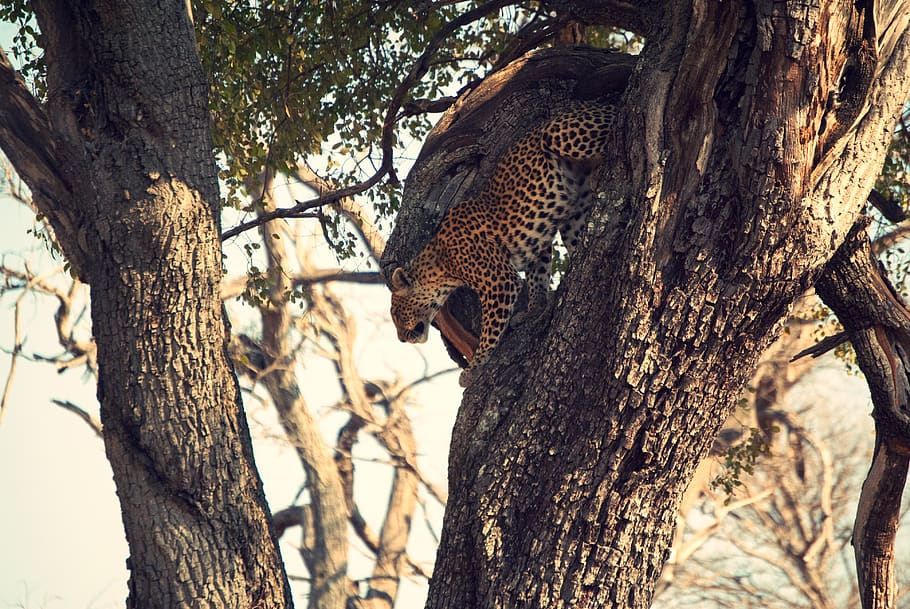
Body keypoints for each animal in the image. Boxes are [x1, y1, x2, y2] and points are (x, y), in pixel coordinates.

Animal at [389, 103, 616, 387]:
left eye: (397, 314)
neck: (441, 264)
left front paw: (474, 368)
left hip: (555, 132)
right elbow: (538, 275)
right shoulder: (537, 242)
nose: (400, 338)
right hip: (573, 214)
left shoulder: (499, 281)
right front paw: (533, 310)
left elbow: (490, 328)